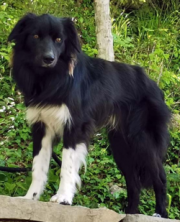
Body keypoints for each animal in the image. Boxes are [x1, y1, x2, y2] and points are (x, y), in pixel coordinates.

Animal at [8, 13, 171, 217]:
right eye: (36, 36)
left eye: (59, 39)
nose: (49, 58)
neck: (50, 78)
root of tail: (155, 86)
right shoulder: (41, 127)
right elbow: (38, 166)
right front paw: (30, 198)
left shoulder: (75, 127)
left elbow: (67, 166)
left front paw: (63, 198)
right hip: (120, 145)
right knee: (134, 183)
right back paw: (130, 214)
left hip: (142, 140)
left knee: (160, 177)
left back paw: (159, 214)